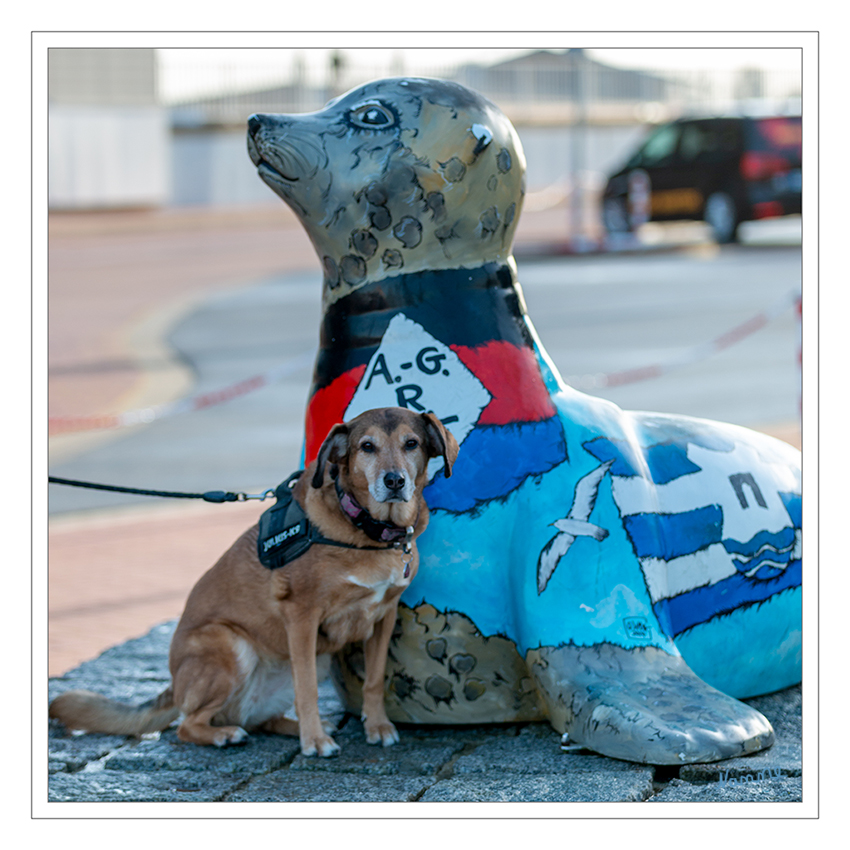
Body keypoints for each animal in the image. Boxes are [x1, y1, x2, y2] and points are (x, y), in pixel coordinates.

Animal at [50, 406, 458, 756]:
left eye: (411, 444)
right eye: (367, 447)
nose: (394, 481)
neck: (368, 532)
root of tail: (174, 685)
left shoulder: (384, 616)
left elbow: (373, 681)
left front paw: (376, 726)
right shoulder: (302, 617)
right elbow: (308, 689)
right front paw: (315, 742)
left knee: (260, 720)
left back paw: (297, 725)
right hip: (229, 645)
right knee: (187, 724)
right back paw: (227, 735)